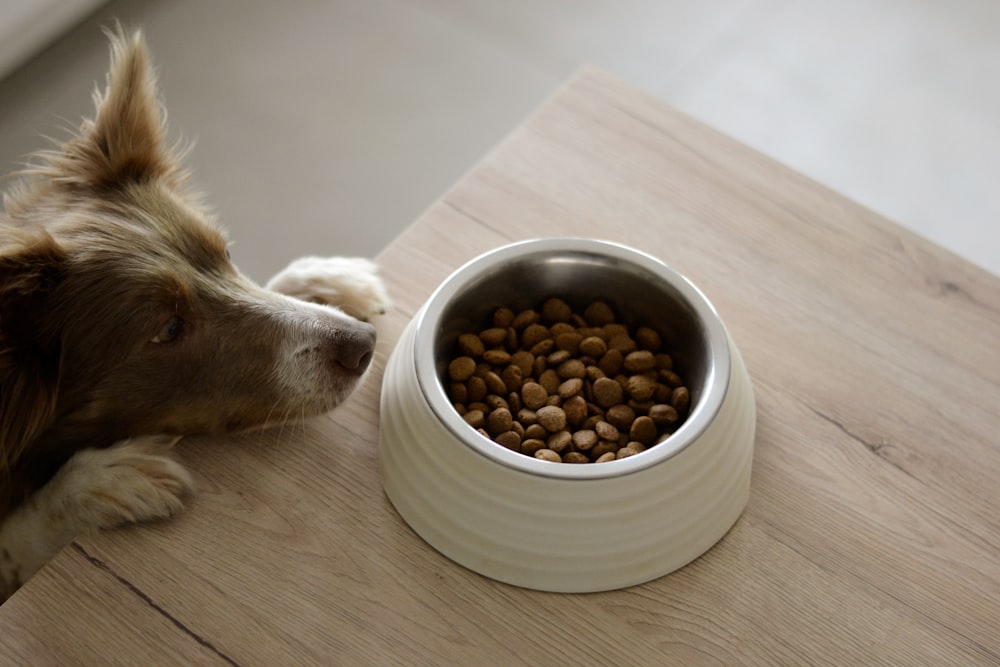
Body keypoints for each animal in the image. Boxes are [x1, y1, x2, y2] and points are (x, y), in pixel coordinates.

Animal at [0, 26, 390, 604]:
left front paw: (323, 279)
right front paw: (97, 483)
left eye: (224, 253)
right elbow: (14, 542)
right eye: (168, 328)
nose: (362, 345)